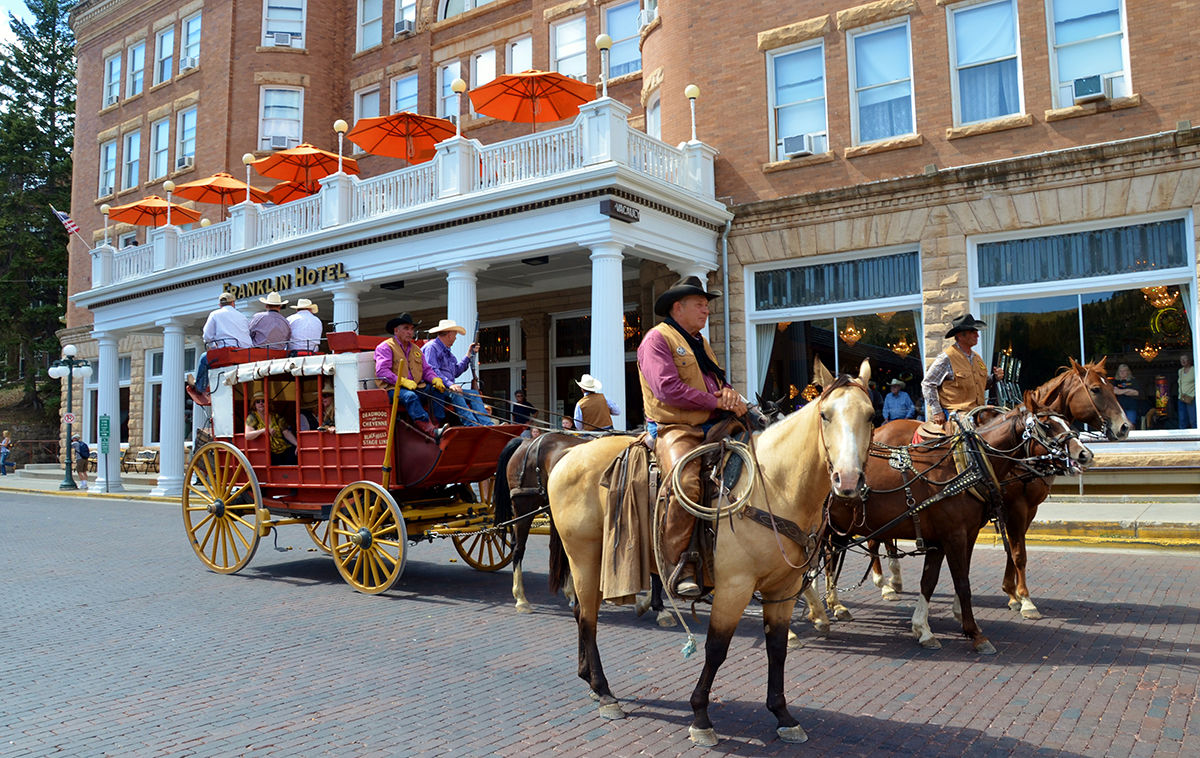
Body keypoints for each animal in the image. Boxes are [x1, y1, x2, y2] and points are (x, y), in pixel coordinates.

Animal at [544, 362, 873, 748]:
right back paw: (605, 692)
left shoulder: (784, 588)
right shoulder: (734, 586)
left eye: (871, 415)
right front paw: (700, 717)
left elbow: (777, 648)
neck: (774, 484)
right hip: (584, 556)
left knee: (582, 612)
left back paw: (592, 683)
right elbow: (717, 648)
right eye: (825, 415)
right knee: (588, 618)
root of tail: (568, 455)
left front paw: (783, 715)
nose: (847, 480)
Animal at [820, 402, 1094, 652]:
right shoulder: (955, 535)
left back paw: (833, 606)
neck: (966, 466)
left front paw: (924, 628)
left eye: (1068, 422)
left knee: (829, 561)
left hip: (835, 531)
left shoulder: (954, 536)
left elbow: (930, 581)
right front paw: (975, 633)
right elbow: (963, 582)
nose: (1085, 454)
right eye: (1047, 426)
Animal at [868, 357, 1118, 618]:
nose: (1123, 426)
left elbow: (1015, 548)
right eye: (1095, 389)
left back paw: (894, 579)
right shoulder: (1015, 507)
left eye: (1112, 387)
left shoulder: (1027, 509)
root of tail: (879, 429)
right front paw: (1025, 600)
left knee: (884, 536)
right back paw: (884, 583)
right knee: (875, 539)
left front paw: (1012, 593)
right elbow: (1018, 553)